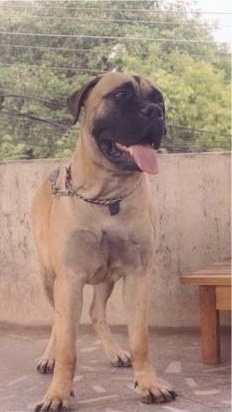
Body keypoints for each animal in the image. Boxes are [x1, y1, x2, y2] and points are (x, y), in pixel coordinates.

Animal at [31, 72, 177, 410]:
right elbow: (68, 347)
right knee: (57, 320)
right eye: (120, 95)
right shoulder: (69, 278)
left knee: (96, 313)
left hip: (105, 277)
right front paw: (58, 393)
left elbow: (141, 339)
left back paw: (115, 353)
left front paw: (149, 384)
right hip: (49, 276)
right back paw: (48, 358)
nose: (155, 112)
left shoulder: (137, 275)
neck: (107, 197)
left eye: (159, 99)